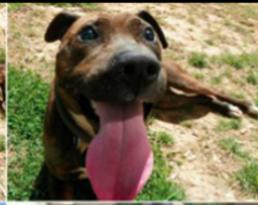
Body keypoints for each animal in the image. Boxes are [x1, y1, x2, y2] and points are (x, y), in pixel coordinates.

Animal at [31, 10, 258, 199]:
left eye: (149, 33)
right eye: (88, 33)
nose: (139, 67)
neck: (89, 141)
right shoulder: (59, 177)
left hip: (181, 80)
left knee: (211, 91)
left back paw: (242, 106)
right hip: (169, 101)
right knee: (202, 98)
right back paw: (226, 108)